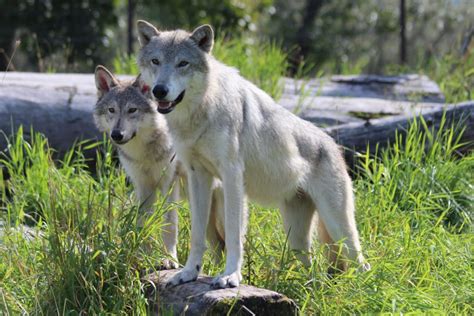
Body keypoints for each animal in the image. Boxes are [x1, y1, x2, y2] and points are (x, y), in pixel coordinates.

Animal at [93, 66, 226, 266]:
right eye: (111, 110)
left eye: (132, 110)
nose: (117, 134)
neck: (144, 153)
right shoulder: (143, 186)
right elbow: (142, 223)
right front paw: (141, 257)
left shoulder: (169, 183)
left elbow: (169, 225)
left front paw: (169, 259)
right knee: (218, 244)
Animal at [136, 19, 370, 286]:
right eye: (155, 61)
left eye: (182, 63)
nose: (159, 90)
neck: (201, 111)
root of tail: (334, 145)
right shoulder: (198, 177)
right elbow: (197, 234)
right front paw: (188, 273)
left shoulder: (232, 177)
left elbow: (234, 234)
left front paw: (230, 276)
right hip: (296, 237)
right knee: (312, 266)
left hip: (338, 227)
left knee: (361, 262)